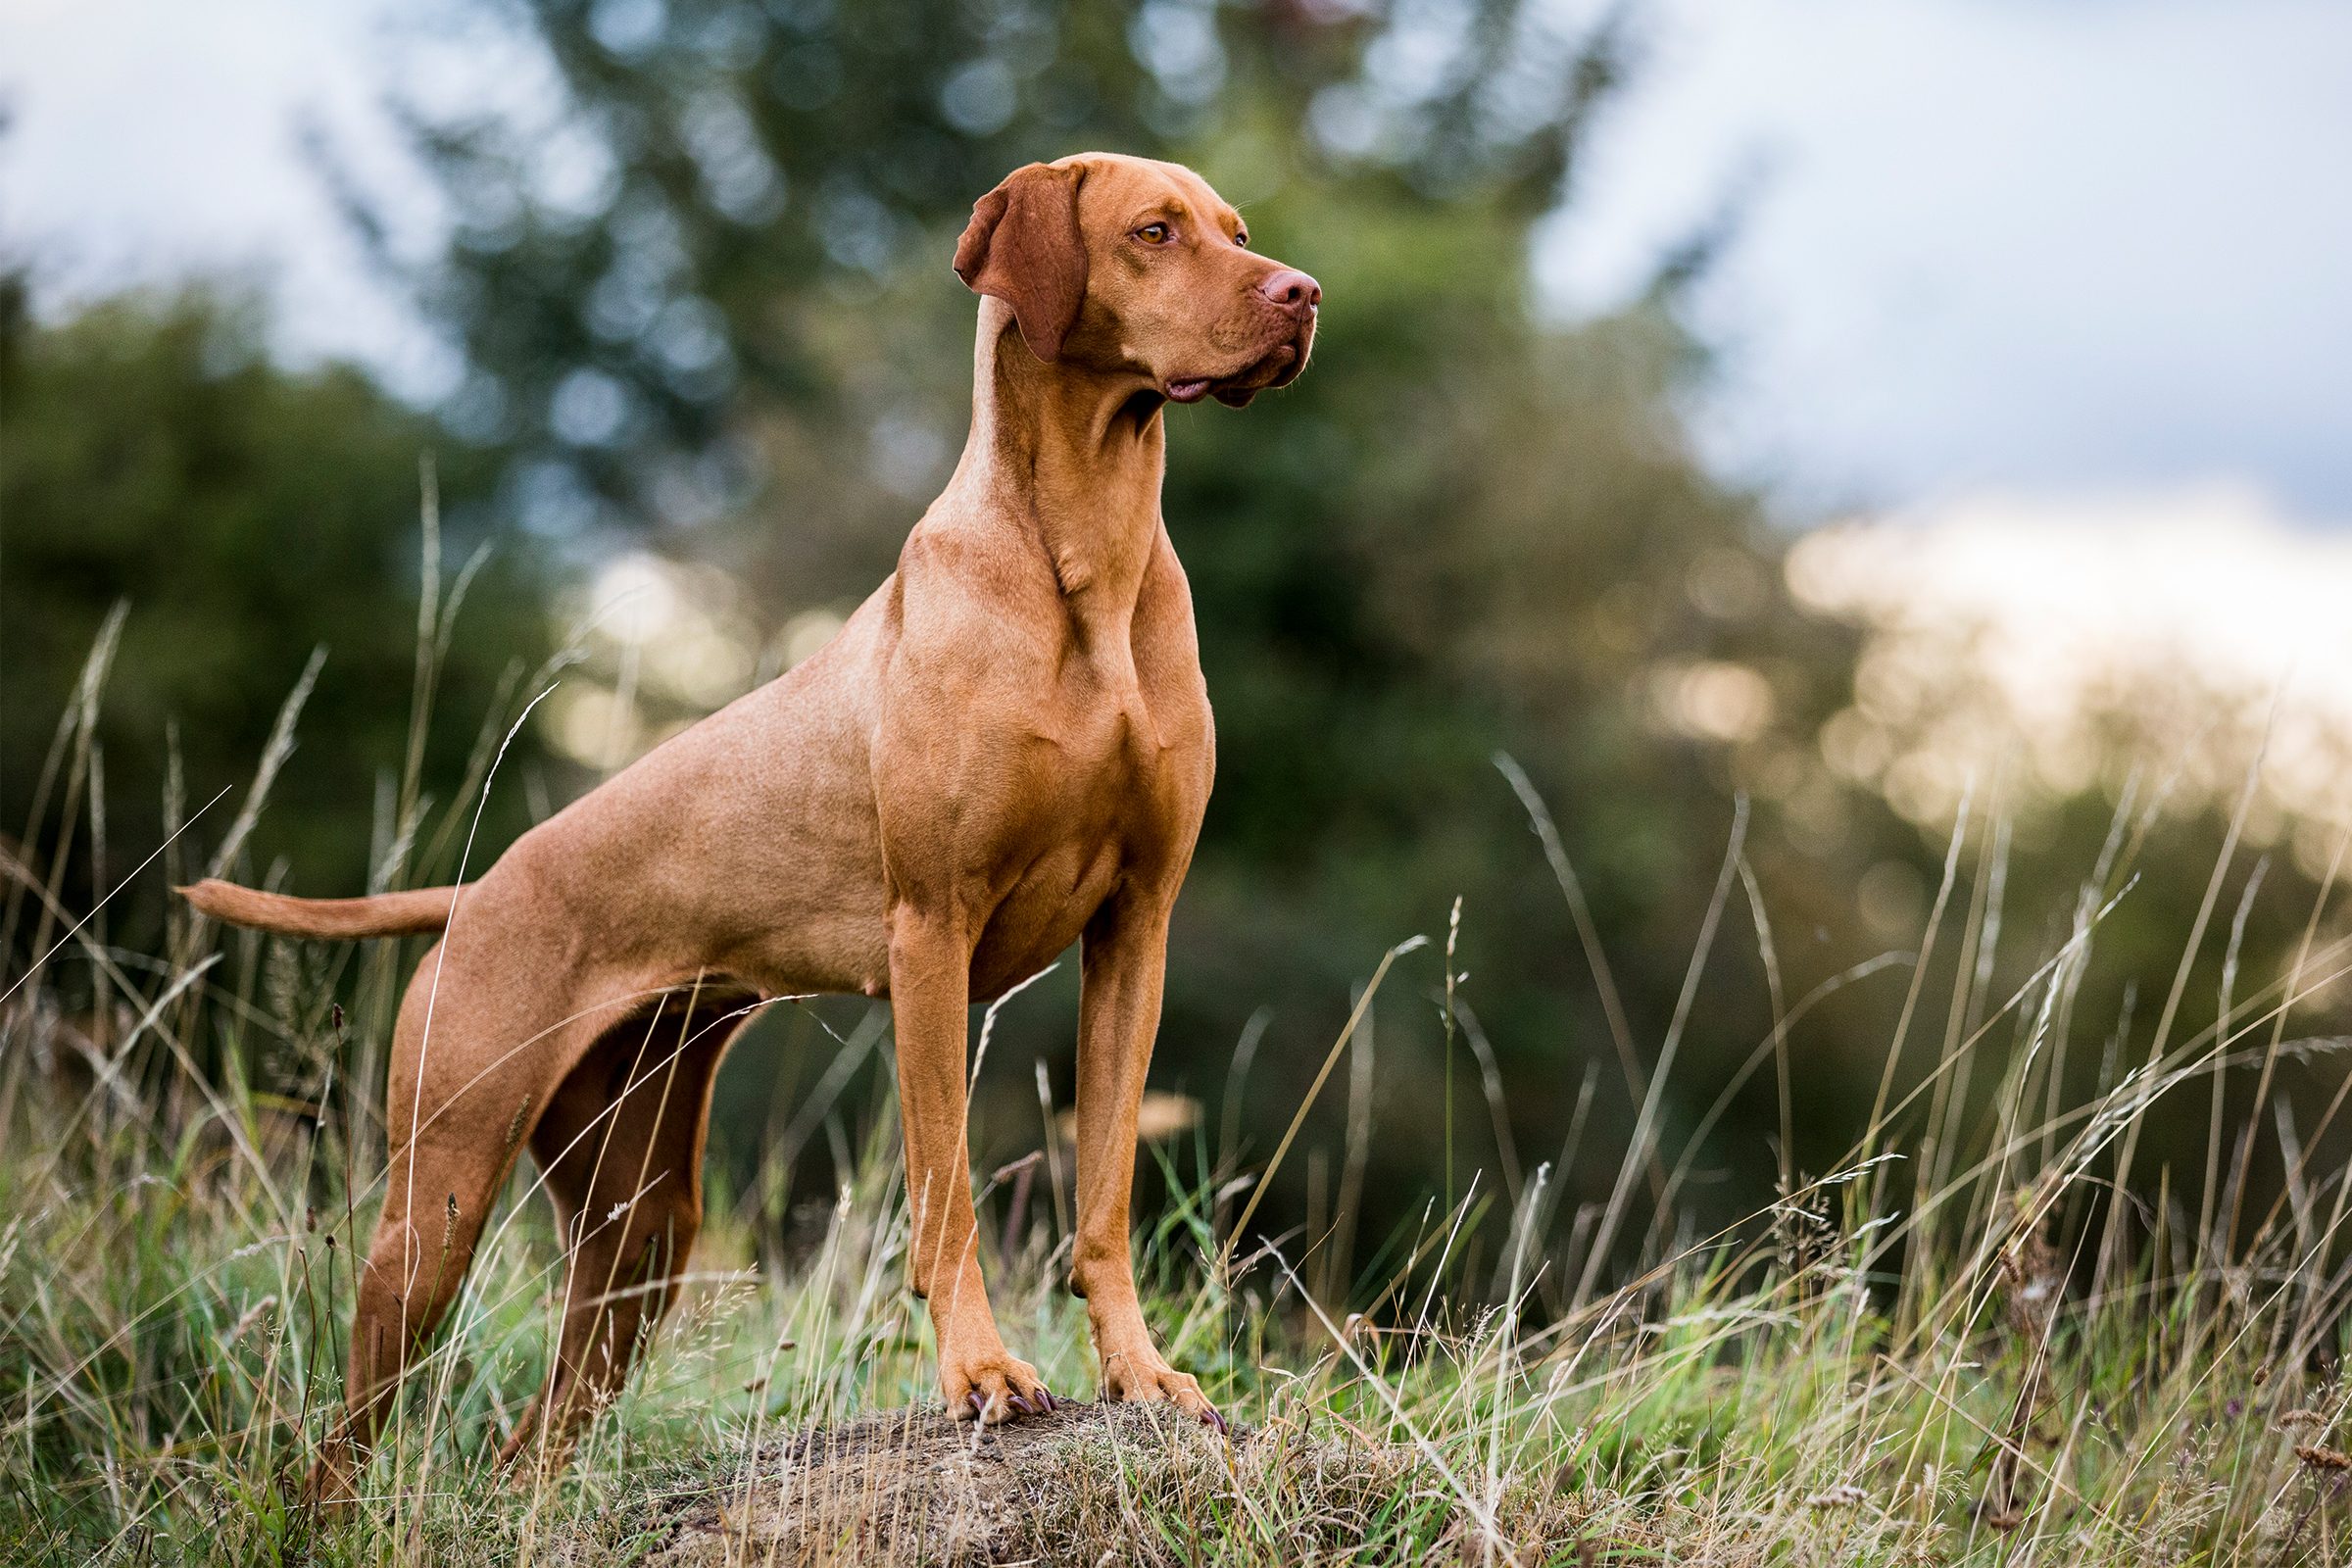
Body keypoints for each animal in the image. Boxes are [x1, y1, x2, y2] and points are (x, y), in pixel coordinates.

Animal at [178, 152, 1326, 1494]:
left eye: (1237, 231)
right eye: (1154, 231)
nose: (1303, 293)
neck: (1083, 554)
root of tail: (479, 890)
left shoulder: (1135, 930)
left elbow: (1101, 1200)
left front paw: (1144, 1375)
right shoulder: (930, 934)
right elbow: (944, 1191)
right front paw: (982, 1373)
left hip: (638, 1231)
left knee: (531, 1442)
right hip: (437, 1202)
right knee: (345, 1438)